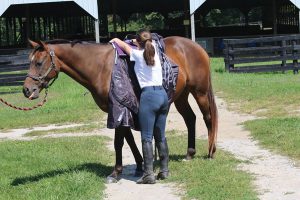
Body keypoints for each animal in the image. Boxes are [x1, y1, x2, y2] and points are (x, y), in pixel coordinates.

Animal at [22, 36, 217, 182]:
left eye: (39, 62)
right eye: (30, 62)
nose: (27, 90)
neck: (100, 66)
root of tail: (196, 46)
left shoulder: (117, 108)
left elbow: (119, 142)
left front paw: (115, 173)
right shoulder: (120, 111)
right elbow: (129, 139)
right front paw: (139, 165)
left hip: (199, 92)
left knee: (208, 118)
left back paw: (210, 152)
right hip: (182, 96)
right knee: (190, 118)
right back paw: (189, 154)